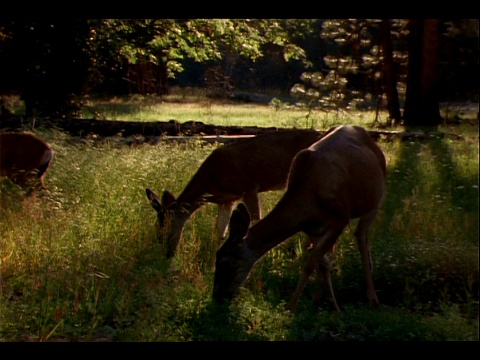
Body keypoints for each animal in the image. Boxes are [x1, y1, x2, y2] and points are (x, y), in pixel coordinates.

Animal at [144, 129, 320, 258]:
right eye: (156, 230)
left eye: (167, 229)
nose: (166, 254)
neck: (210, 181)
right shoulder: (226, 200)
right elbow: (220, 231)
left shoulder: (249, 187)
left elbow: (256, 220)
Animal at [214, 126, 386, 312]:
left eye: (225, 263)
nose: (217, 297)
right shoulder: (311, 228)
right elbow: (322, 263)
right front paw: (329, 303)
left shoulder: (340, 218)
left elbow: (309, 264)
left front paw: (291, 307)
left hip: (376, 200)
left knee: (361, 237)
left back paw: (373, 296)